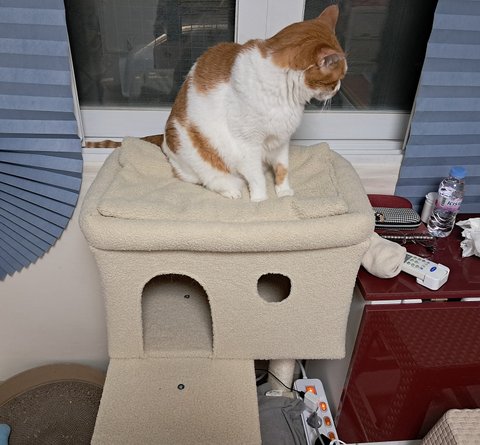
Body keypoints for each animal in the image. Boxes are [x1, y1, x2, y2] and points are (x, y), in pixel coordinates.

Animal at [87, 5, 347, 202]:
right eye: (336, 79)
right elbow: (256, 178)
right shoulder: (248, 145)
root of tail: (164, 140)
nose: (338, 88)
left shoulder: (281, 140)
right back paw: (231, 190)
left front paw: (283, 193)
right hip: (199, 159)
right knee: (206, 180)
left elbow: (283, 169)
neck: (286, 96)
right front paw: (261, 201)